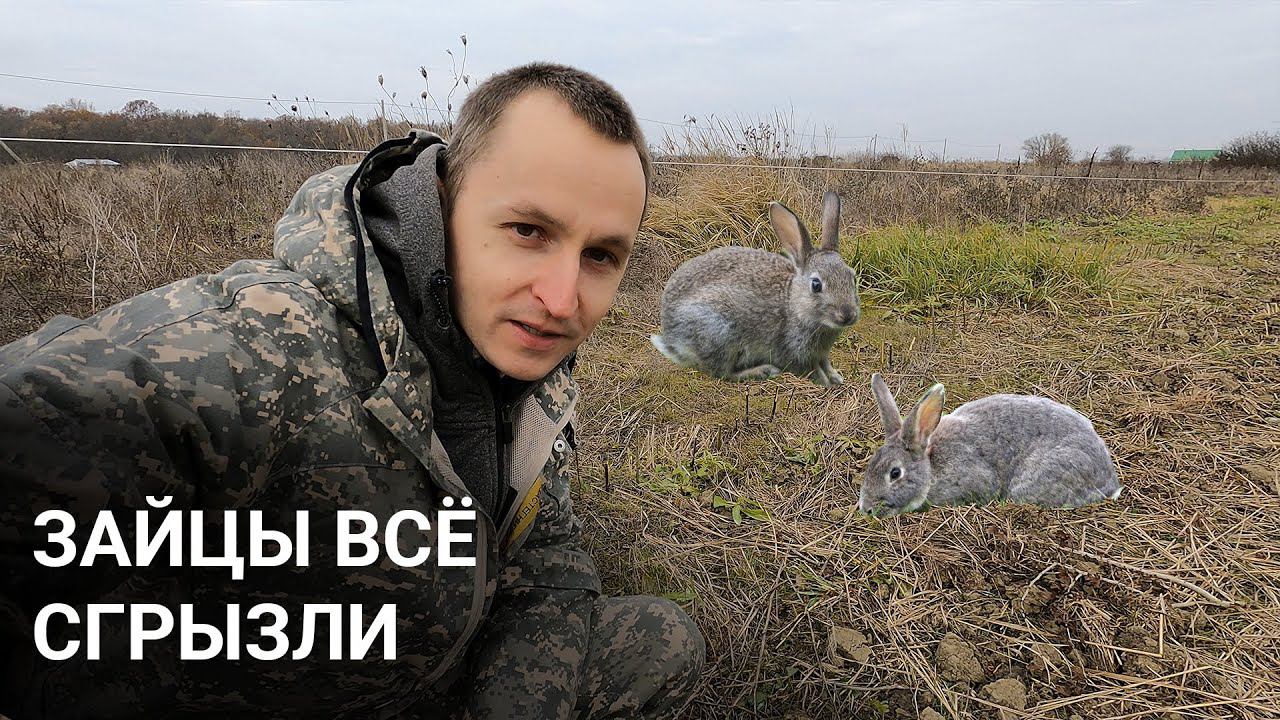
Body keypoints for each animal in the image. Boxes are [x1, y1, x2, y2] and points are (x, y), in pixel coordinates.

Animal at [650, 191, 860, 386]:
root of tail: (672, 337)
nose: (848, 315)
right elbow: (813, 371)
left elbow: (826, 364)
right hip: (720, 333)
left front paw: (836, 378)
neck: (793, 304)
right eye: (816, 285)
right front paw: (827, 384)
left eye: (852, 276)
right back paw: (762, 371)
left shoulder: (821, 354)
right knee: (721, 373)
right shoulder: (794, 353)